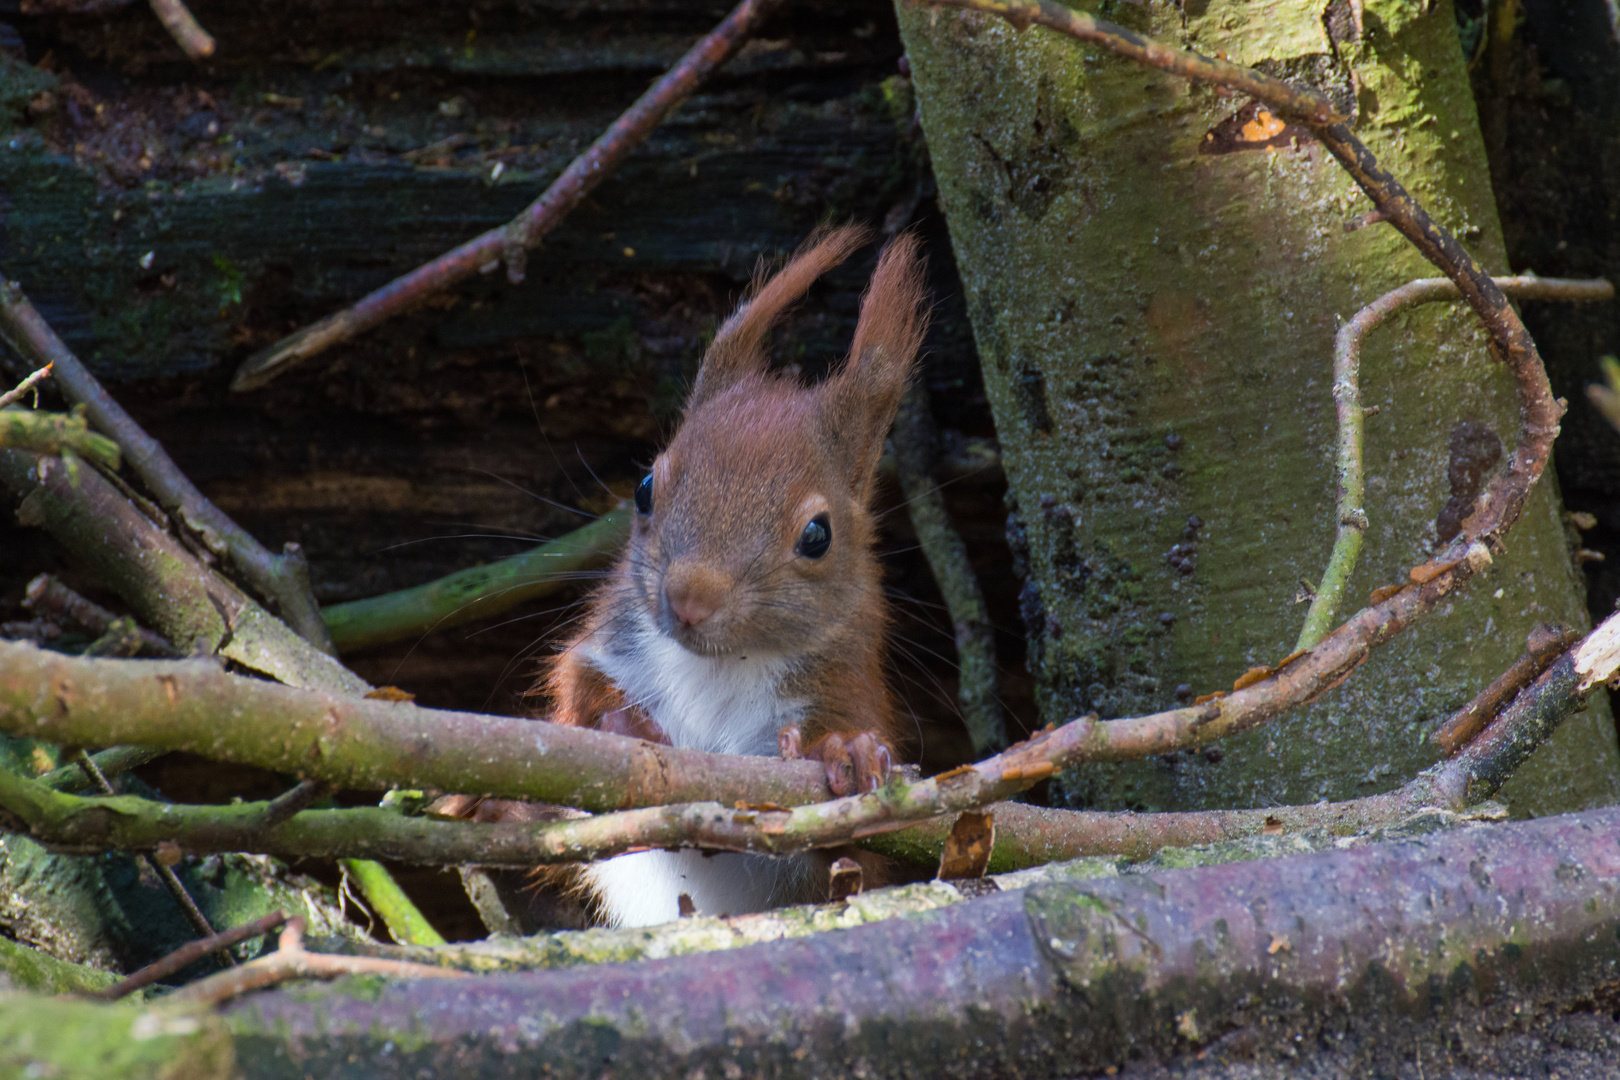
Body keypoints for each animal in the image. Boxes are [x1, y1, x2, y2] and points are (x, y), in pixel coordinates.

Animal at [544, 226, 926, 932]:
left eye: (818, 536)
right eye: (644, 488)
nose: (689, 598)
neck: (720, 666)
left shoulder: (846, 683)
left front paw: (847, 753)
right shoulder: (611, 641)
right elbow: (573, 692)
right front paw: (623, 725)